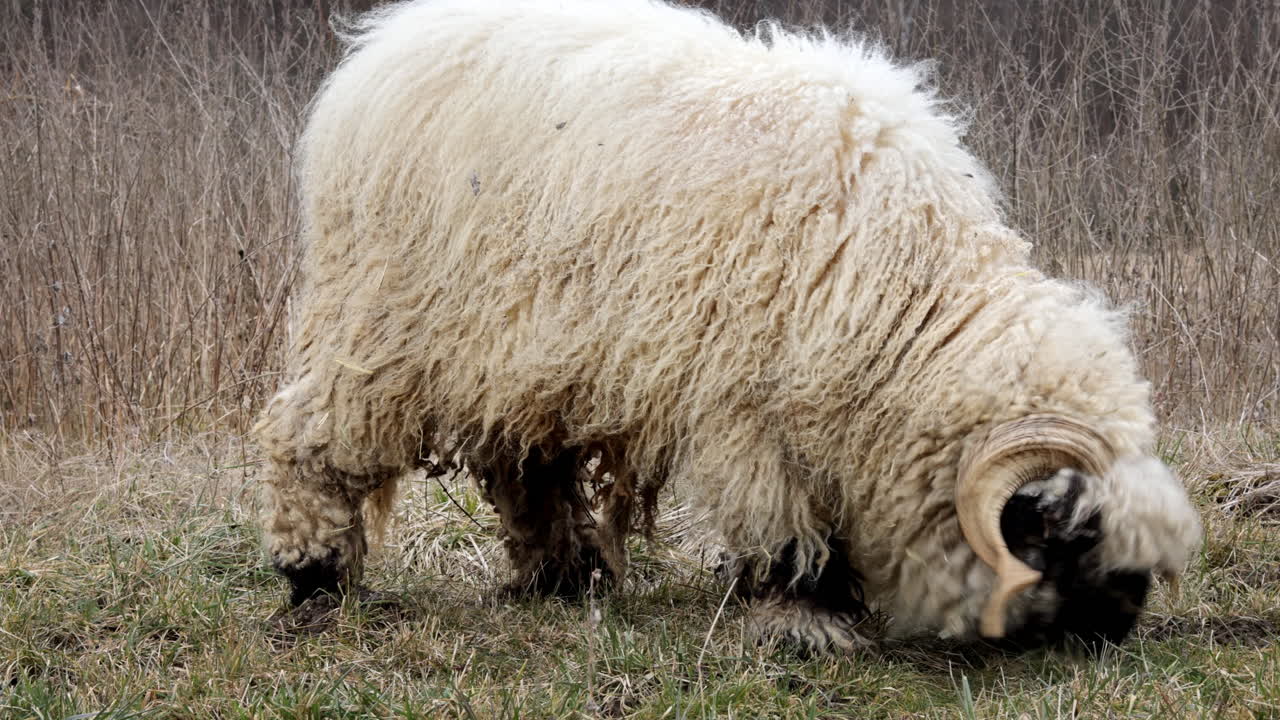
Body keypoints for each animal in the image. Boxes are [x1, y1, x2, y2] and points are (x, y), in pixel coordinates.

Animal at [254, 0, 1203, 651]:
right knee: (311, 436)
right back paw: (316, 579)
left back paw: (566, 580)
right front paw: (803, 615)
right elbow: (780, 520)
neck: (911, 299)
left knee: (526, 465)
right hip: (385, 321)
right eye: (1064, 536)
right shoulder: (750, 406)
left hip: (522, 351)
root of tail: (379, 45)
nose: (1114, 630)